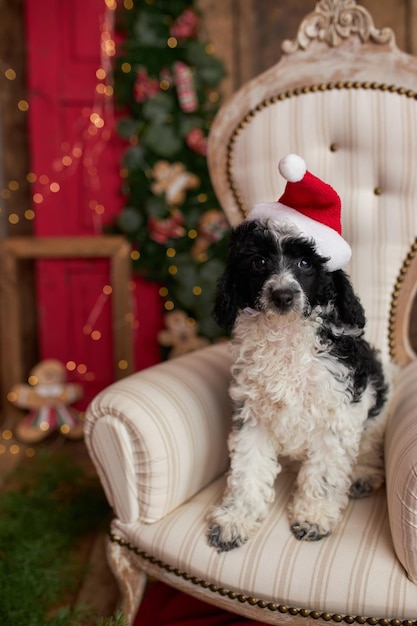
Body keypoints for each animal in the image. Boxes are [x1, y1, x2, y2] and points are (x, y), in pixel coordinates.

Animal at [207, 217, 386, 548]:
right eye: (259, 262)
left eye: (305, 263)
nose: (282, 296)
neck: (285, 334)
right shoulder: (253, 414)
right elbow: (248, 467)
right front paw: (236, 518)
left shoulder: (337, 414)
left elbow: (325, 473)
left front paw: (314, 516)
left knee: (369, 444)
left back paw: (363, 474)